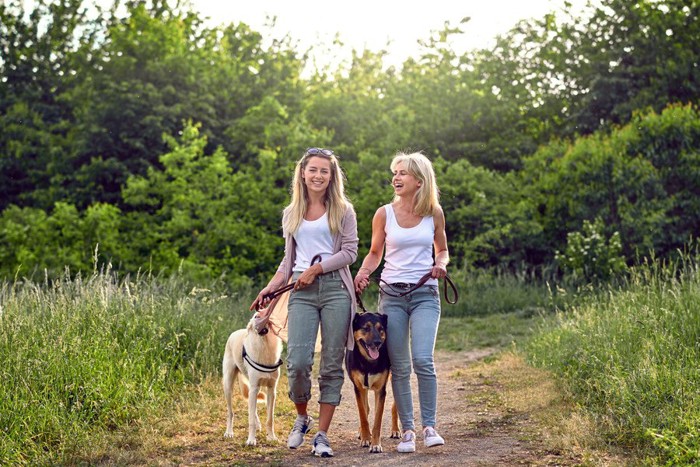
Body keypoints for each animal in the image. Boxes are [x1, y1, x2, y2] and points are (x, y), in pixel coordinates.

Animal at [221, 314, 282, 446]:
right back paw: (229, 432)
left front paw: (271, 437)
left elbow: (270, 419)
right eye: (255, 316)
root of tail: (236, 332)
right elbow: (250, 421)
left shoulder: (271, 390)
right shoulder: (254, 388)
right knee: (230, 413)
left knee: (252, 408)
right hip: (228, 386)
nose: (259, 314)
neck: (264, 344)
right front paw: (251, 440)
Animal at [346, 312, 400, 452]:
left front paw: (375, 444)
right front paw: (366, 438)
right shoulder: (358, 388)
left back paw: (396, 430)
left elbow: (377, 420)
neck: (368, 362)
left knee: (395, 406)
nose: (377, 342)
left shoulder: (380, 390)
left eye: (381, 329)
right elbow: (363, 415)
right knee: (366, 409)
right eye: (366, 328)